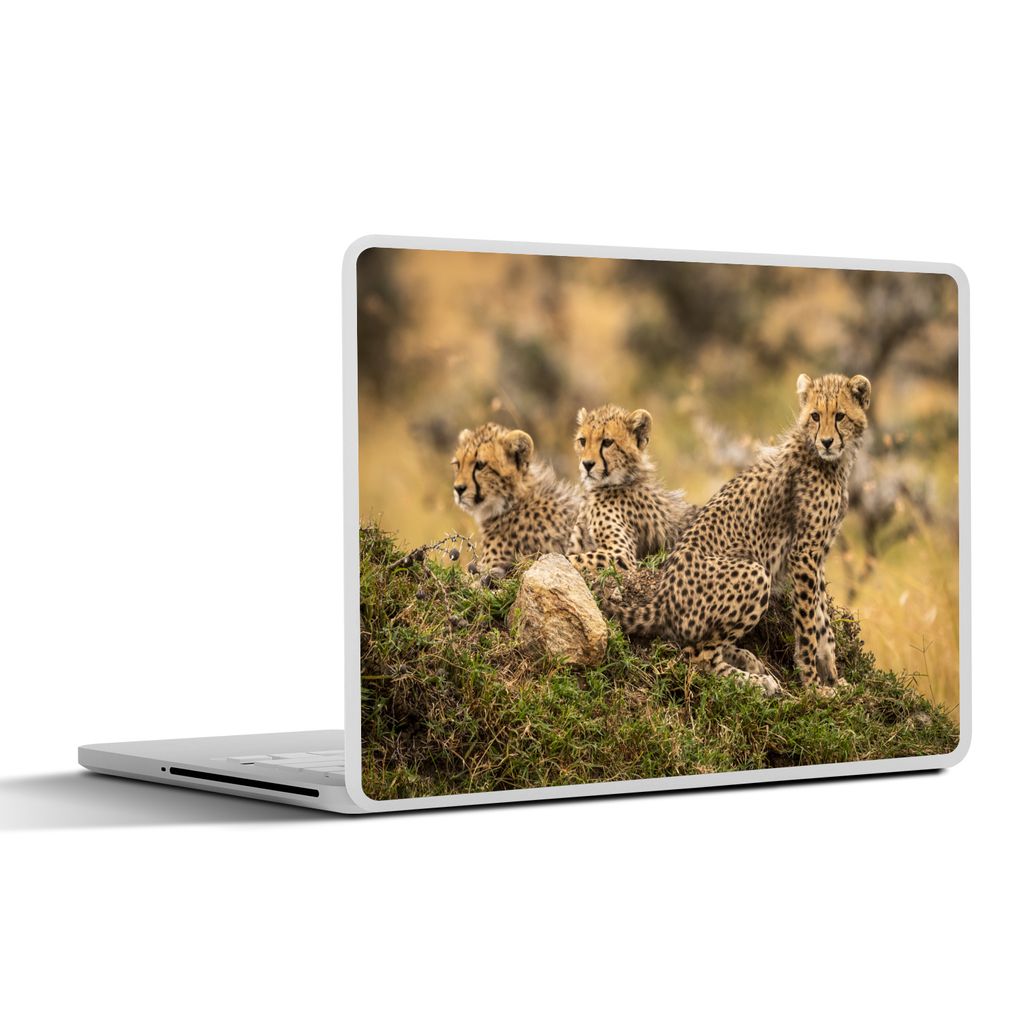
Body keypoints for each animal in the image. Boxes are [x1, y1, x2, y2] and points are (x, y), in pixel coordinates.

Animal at [606, 373, 872, 696]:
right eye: (815, 416)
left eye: (840, 416)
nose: (827, 441)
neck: (828, 460)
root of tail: (661, 601)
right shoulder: (804, 554)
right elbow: (809, 624)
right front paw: (813, 685)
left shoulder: (817, 555)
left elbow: (823, 622)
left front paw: (834, 677)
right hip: (755, 573)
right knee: (698, 656)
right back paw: (756, 682)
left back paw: (747, 660)